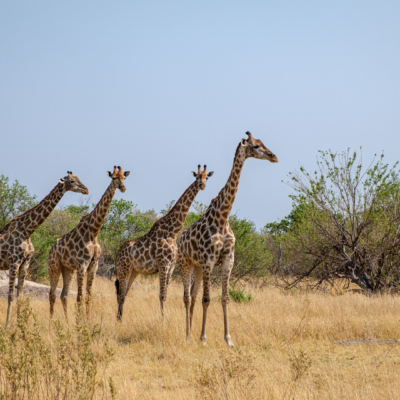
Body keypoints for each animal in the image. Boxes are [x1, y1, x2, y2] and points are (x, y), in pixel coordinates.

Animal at [0, 171, 88, 324]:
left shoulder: (25, 263)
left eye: (78, 178)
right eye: (71, 181)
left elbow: (20, 294)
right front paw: (7, 325)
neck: (27, 231)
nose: (85, 190)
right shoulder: (14, 262)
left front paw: (20, 323)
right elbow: (10, 295)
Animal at [47, 164, 130, 318]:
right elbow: (80, 297)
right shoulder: (82, 264)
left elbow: (89, 296)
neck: (94, 230)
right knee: (52, 294)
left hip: (68, 269)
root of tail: (51, 249)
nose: (122, 187)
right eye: (114, 178)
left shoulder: (94, 265)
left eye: (124, 177)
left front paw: (88, 320)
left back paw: (67, 321)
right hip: (54, 266)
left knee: (64, 295)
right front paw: (80, 322)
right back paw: (51, 321)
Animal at [115, 164, 214, 320]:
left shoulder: (171, 266)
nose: (202, 185)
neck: (173, 232)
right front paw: (163, 321)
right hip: (123, 269)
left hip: (133, 271)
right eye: (197, 176)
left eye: (206, 177)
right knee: (120, 294)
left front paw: (164, 318)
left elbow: (165, 294)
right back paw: (119, 320)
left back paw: (120, 320)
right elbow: (161, 295)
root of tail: (116, 256)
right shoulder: (163, 264)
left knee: (123, 294)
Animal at [178, 131, 278, 346]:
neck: (223, 217)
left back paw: (191, 332)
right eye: (255, 146)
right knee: (187, 297)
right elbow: (207, 299)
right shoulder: (209, 260)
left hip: (197, 267)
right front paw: (203, 339)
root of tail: (180, 240)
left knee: (193, 294)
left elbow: (224, 298)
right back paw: (188, 335)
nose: (274, 156)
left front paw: (228, 340)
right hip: (185, 263)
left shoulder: (227, 260)